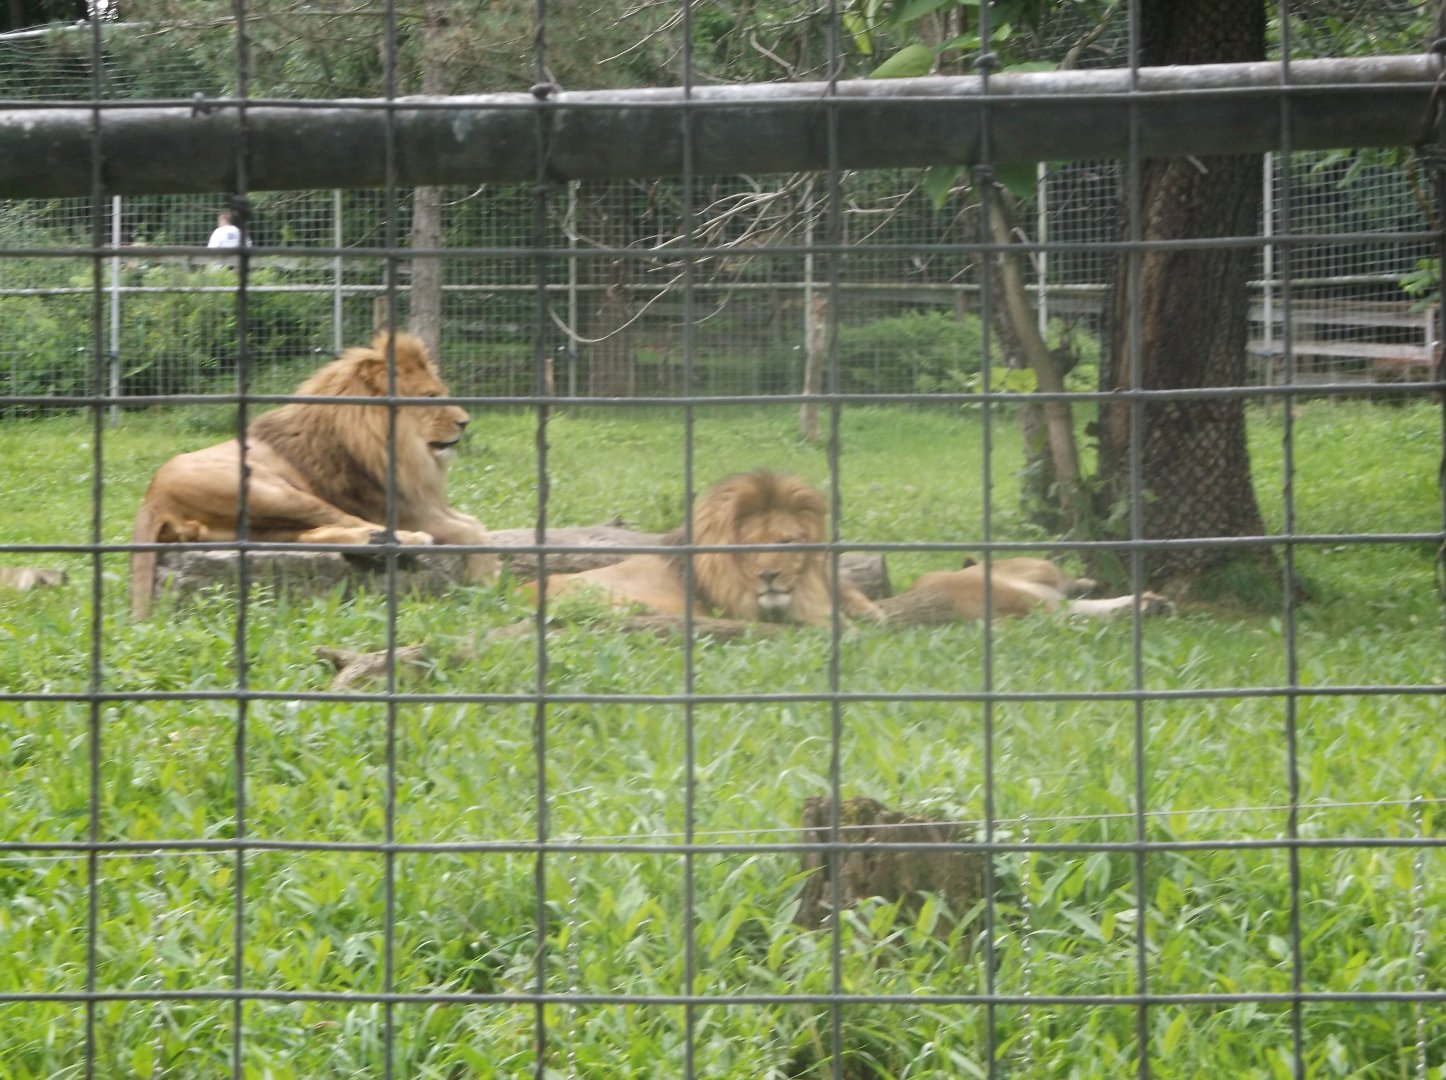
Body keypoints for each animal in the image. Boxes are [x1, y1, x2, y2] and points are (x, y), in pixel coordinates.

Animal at [129, 331, 497, 620]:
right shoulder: (405, 509)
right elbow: (470, 532)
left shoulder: (425, 501)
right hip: (274, 493)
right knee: (340, 522)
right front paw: (489, 580)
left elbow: (476, 524)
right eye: (429, 397)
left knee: (312, 535)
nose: (465, 421)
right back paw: (404, 541)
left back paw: (375, 544)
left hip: (261, 526)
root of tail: (151, 496)